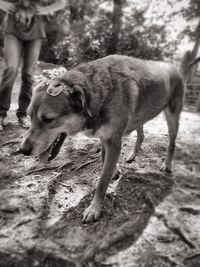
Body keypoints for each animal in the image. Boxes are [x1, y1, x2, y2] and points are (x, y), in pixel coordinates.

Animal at [20, 55, 184, 223]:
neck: (101, 93)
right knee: (141, 136)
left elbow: (102, 181)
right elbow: (104, 158)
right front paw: (114, 170)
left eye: (48, 119)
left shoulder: (114, 142)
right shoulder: (105, 138)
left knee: (172, 143)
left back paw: (167, 164)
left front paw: (94, 208)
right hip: (139, 117)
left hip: (172, 117)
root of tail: (174, 67)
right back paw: (132, 155)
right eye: (29, 115)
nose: (23, 150)